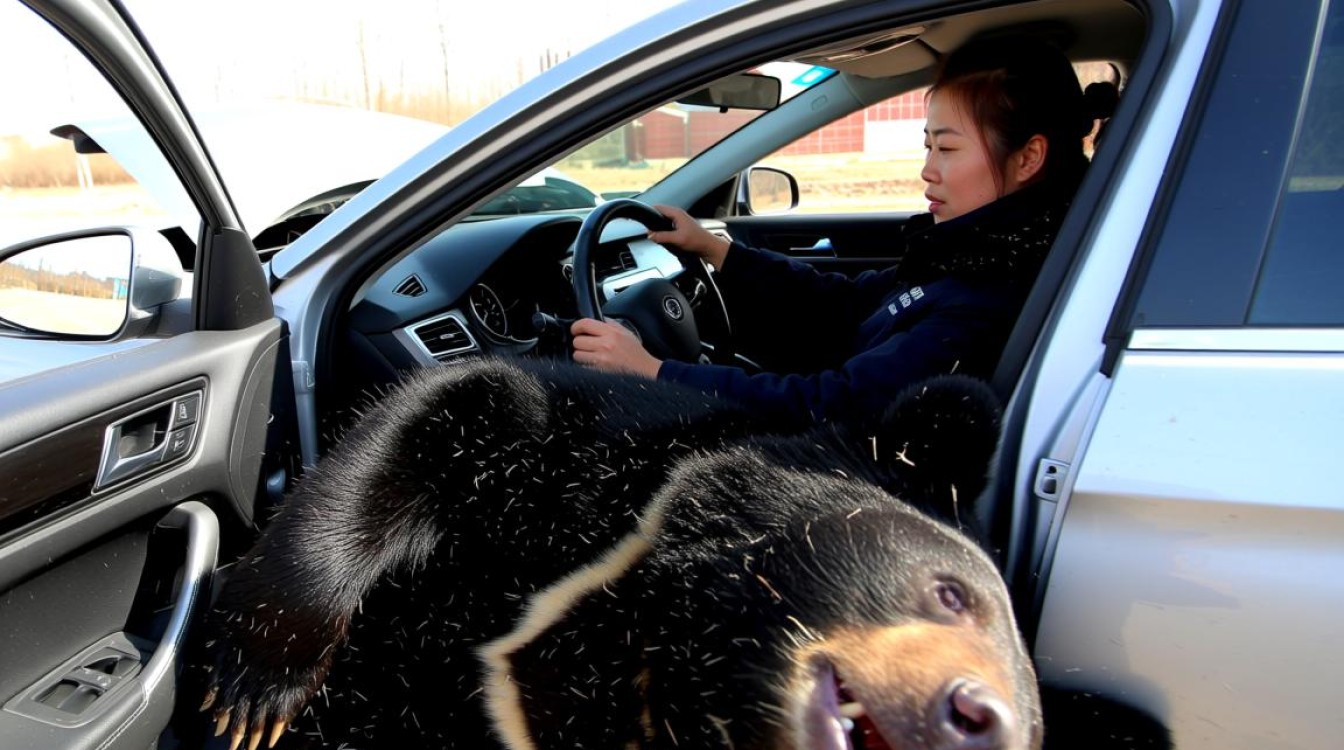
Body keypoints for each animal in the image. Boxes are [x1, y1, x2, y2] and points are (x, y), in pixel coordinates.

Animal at [196, 356, 1041, 750]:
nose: (979, 719)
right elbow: (454, 410)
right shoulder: (584, 453)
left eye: (1036, 724)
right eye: (952, 593)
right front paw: (254, 694)